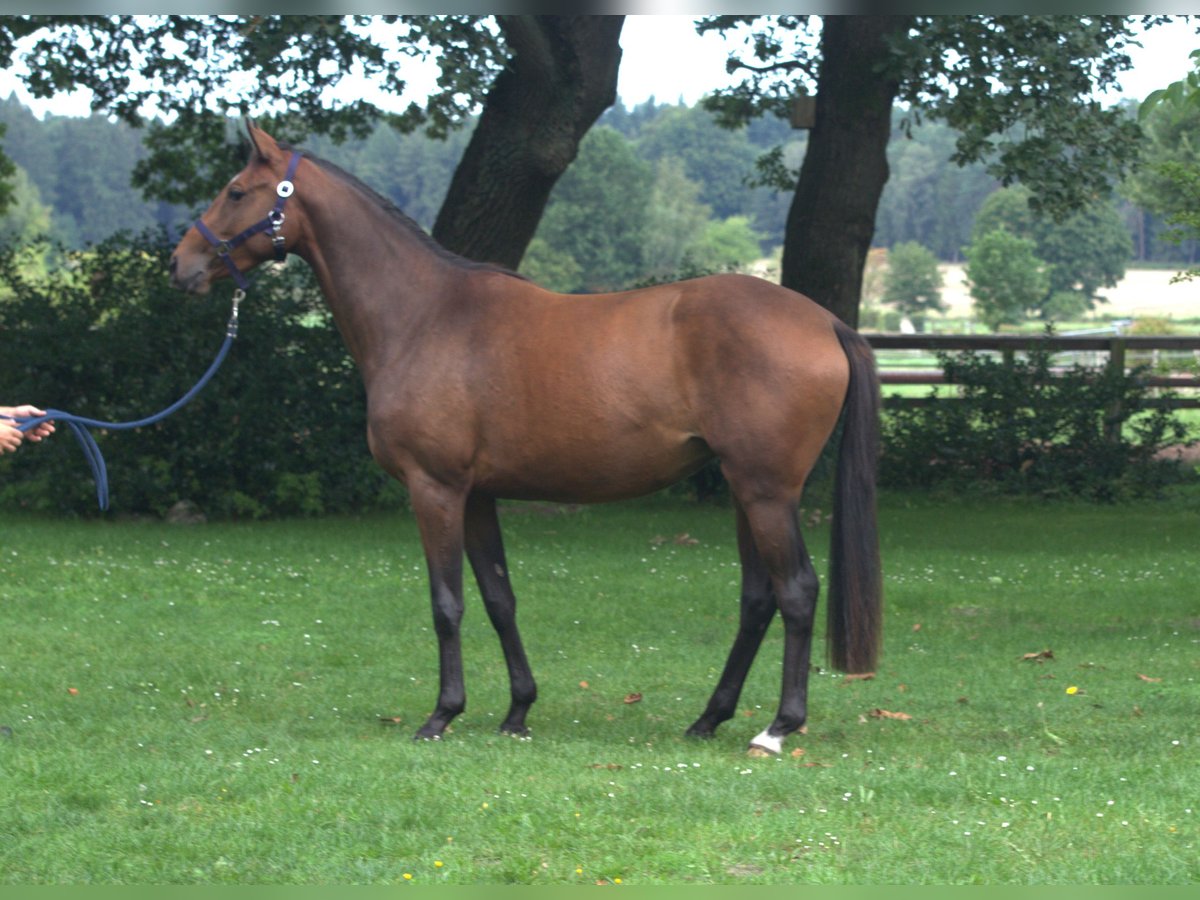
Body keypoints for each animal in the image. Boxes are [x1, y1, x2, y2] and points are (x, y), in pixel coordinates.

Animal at [169, 120, 883, 753]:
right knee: (758, 600)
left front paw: (442, 715)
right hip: (743, 489)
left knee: (796, 592)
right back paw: (709, 719)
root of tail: (825, 323)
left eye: (237, 191)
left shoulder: (435, 490)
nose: (181, 265)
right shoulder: (478, 495)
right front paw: (517, 712)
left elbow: (447, 603)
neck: (424, 317)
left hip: (766, 491)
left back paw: (778, 728)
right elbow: (498, 599)